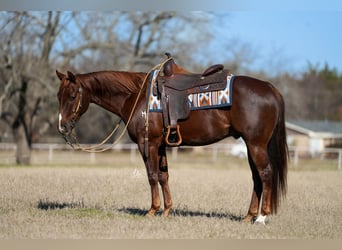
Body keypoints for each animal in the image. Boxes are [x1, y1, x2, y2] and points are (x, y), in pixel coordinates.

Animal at [56, 58, 288, 223]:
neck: (136, 96)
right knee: (256, 178)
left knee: (265, 174)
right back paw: (248, 216)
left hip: (256, 145)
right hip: (251, 146)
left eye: (72, 95)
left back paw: (261, 217)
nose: (62, 126)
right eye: (59, 95)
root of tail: (271, 89)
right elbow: (163, 176)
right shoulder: (161, 146)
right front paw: (167, 210)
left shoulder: (147, 144)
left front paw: (152, 210)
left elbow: (151, 176)